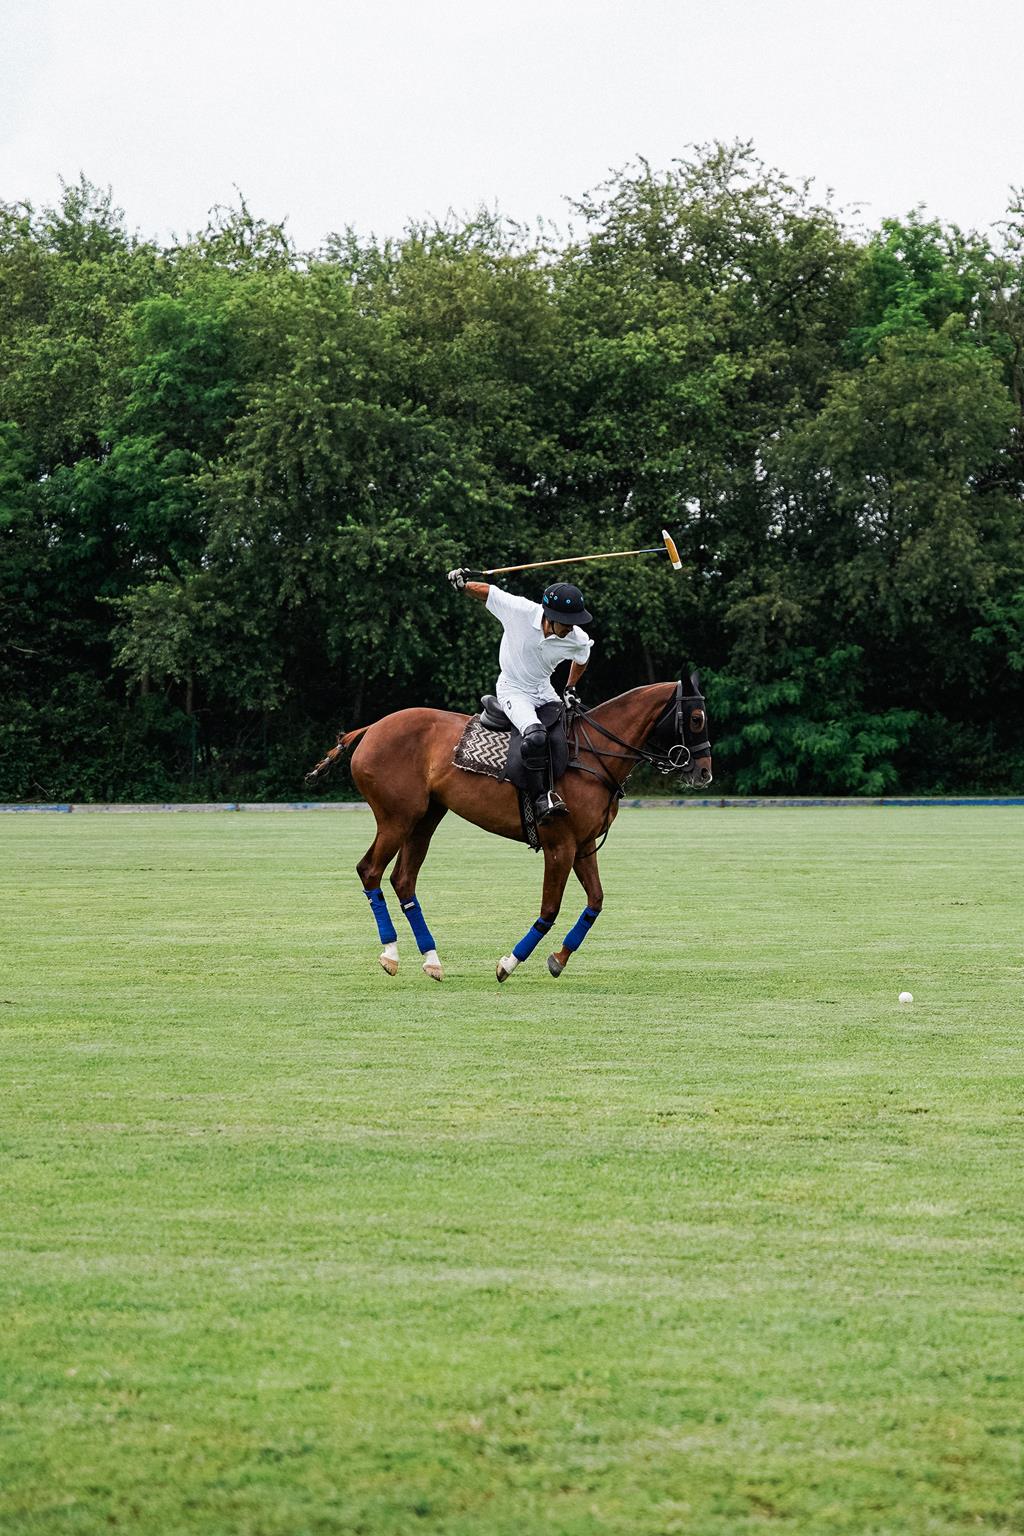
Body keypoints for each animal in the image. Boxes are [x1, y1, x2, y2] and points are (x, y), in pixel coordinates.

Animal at [317, 675, 712, 983]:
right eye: (695, 718)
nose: (704, 772)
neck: (595, 753)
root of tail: (371, 728)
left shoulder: (583, 844)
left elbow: (596, 902)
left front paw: (558, 959)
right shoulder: (560, 845)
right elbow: (549, 909)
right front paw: (509, 963)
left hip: (426, 818)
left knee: (403, 880)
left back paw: (432, 960)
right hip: (396, 818)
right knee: (370, 870)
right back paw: (391, 954)